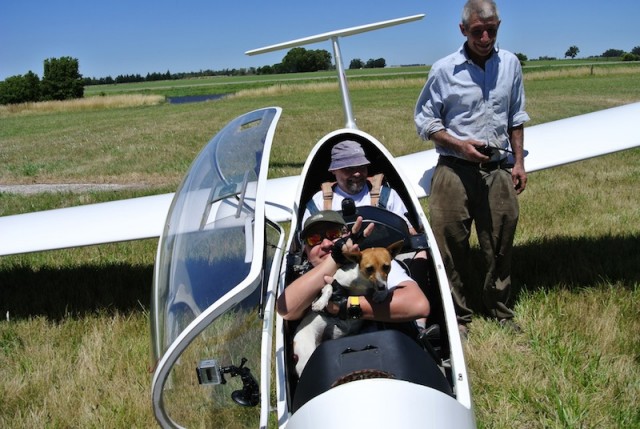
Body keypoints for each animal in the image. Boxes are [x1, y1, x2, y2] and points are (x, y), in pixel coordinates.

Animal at [292, 239, 402, 376]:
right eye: (369, 269)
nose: (381, 287)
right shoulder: (332, 281)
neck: (362, 282)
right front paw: (320, 303)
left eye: (386, 267)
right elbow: (329, 288)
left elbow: (385, 288)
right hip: (306, 356)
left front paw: (381, 294)